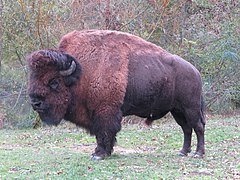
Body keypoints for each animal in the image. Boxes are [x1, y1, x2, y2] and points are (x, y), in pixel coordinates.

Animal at [27, 29, 205, 160]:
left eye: (54, 81)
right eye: (33, 78)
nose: (35, 103)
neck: (82, 73)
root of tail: (196, 72)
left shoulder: (105, 111)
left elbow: (104, 132)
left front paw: (99, 154)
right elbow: (102, 133)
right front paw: (102, 152)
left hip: (190, 108)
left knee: (198, 127)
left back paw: (198, 154)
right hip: (177, 110)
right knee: (186, 128)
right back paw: (183, 152)